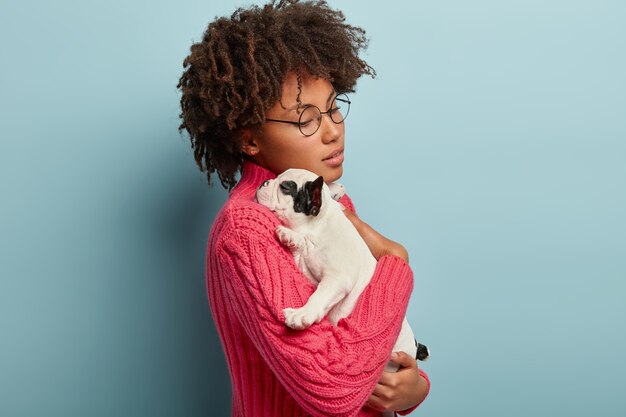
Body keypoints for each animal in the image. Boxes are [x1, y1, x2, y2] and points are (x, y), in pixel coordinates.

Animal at [255, 167, 428, 370]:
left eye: (284, 188)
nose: (264, 182)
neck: (317, 226)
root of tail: (414, 346)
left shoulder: (337, 278)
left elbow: (319, 296)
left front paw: (302, 313)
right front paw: (291, 237)